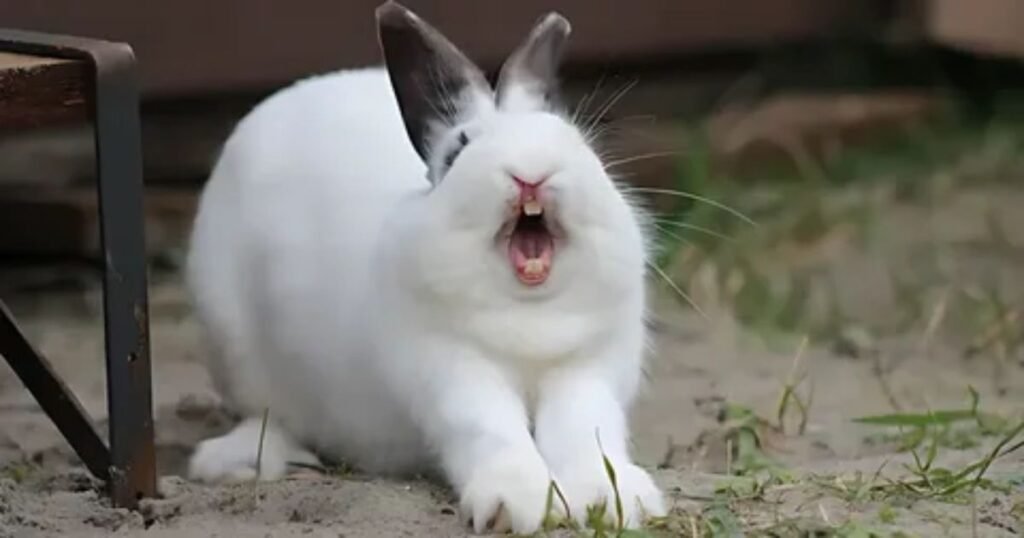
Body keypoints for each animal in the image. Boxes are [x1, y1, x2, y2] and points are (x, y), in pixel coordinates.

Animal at [185, 1, 666, 533]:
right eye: (458, 151)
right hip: (234, 347)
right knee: (266, 416)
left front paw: (615, 501)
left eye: (578, 142)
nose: (531, 173)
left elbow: (586, 430)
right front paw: (514, 504)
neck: (527, 311)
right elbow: (491, 430)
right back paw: (237, 460)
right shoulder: (451, 373)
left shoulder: (586, 371)